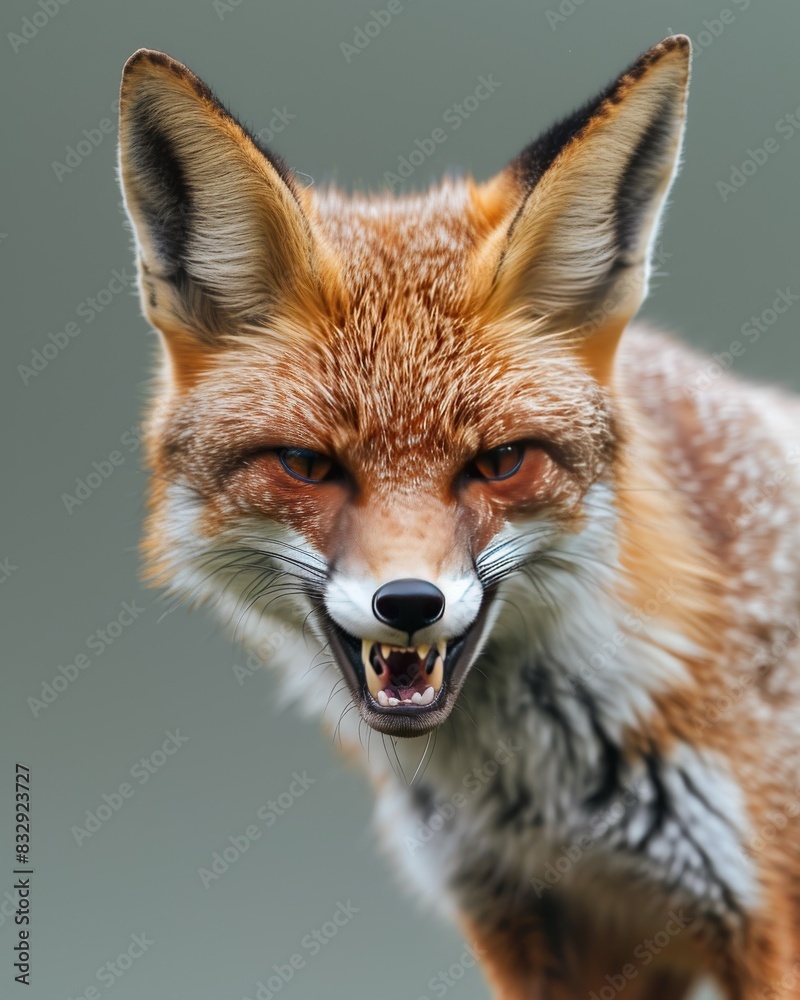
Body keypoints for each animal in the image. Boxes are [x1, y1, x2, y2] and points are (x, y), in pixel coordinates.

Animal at [117, 35, 800, 1000]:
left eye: (501, 462)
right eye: (308, 466)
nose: (410, 605)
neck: (547, 802)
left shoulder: (761, 916)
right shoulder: (523, 920)